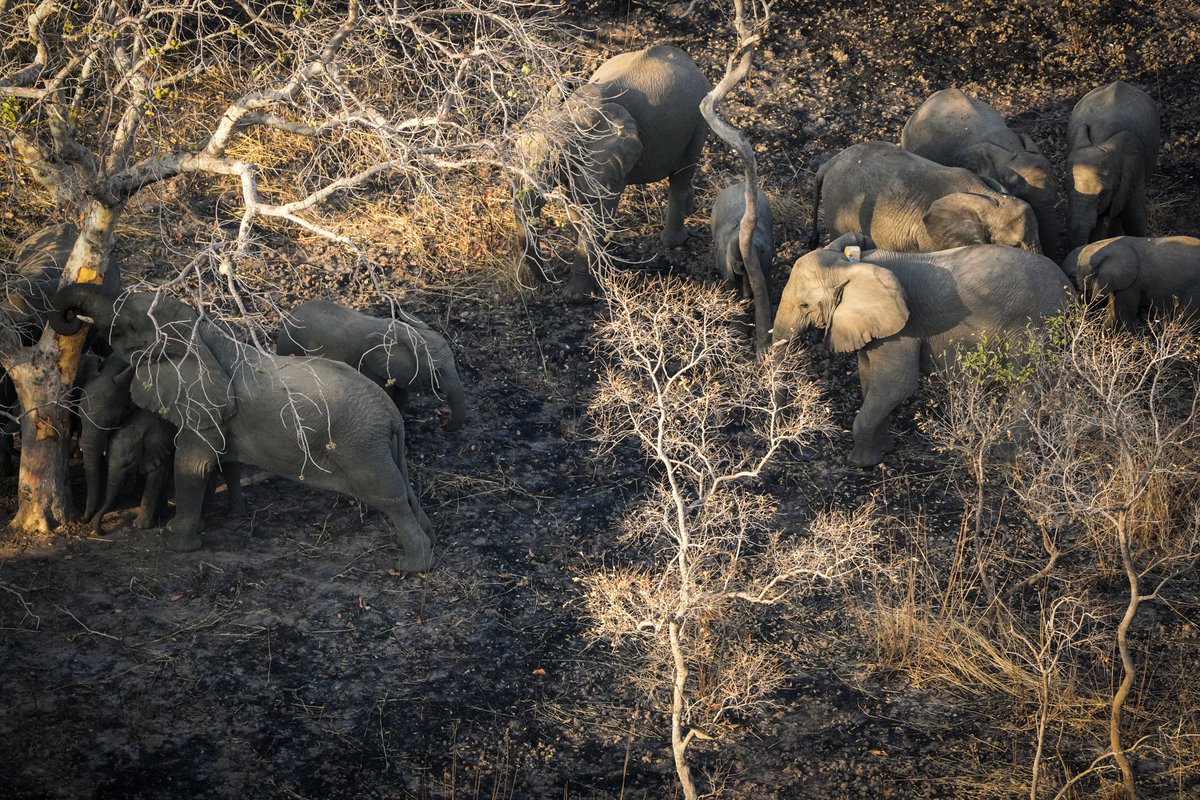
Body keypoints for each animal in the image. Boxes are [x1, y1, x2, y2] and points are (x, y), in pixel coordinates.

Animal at [50, 285, 435, 572]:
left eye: (129, 325)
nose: (71, 319)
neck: (203, 334)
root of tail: (391, 414)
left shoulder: (204, 409)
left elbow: (192, 463)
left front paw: (177, 543)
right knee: (403, 490)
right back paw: (428, 543)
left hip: (362, 445)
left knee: (389, 495)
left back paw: (414, 566)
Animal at [515, 43, 712, 298]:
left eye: (554, 162)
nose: (551, 278)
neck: (572, 113)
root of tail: (690, 61)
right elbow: (577, 204)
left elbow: (596, 209)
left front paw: (575, 295)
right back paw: (690, 209)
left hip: (698, 120)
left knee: (681, 175)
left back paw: (673, 242)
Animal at [773, 233, 1074, 467]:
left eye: (804, 305)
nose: (805, 452)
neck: (852, 265)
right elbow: (869, 379)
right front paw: (884, 450)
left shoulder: (904, 329)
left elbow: (896, 385)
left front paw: (860, 464)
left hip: (1033, 326)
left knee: (1027, 386)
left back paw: (1007, 454)